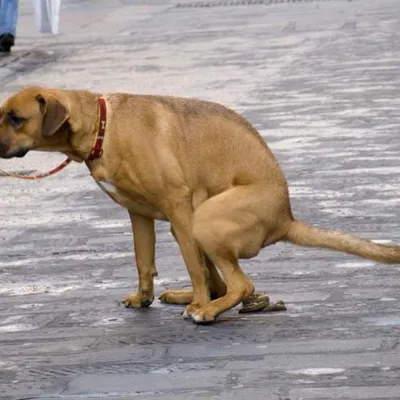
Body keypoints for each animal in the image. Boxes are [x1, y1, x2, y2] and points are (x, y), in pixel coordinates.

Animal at [0, 86, 400, 324]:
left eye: (16, 118)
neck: (102, 127)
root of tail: (286, 219)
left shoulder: (177, 204)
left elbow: (194, 267)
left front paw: (198, 303)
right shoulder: (139, 215)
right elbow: (143, 262)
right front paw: (144, 298)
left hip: (201, 219)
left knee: (241, 285)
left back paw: (204, 309)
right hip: (190, 225)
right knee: (223, 282)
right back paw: (190, 298)